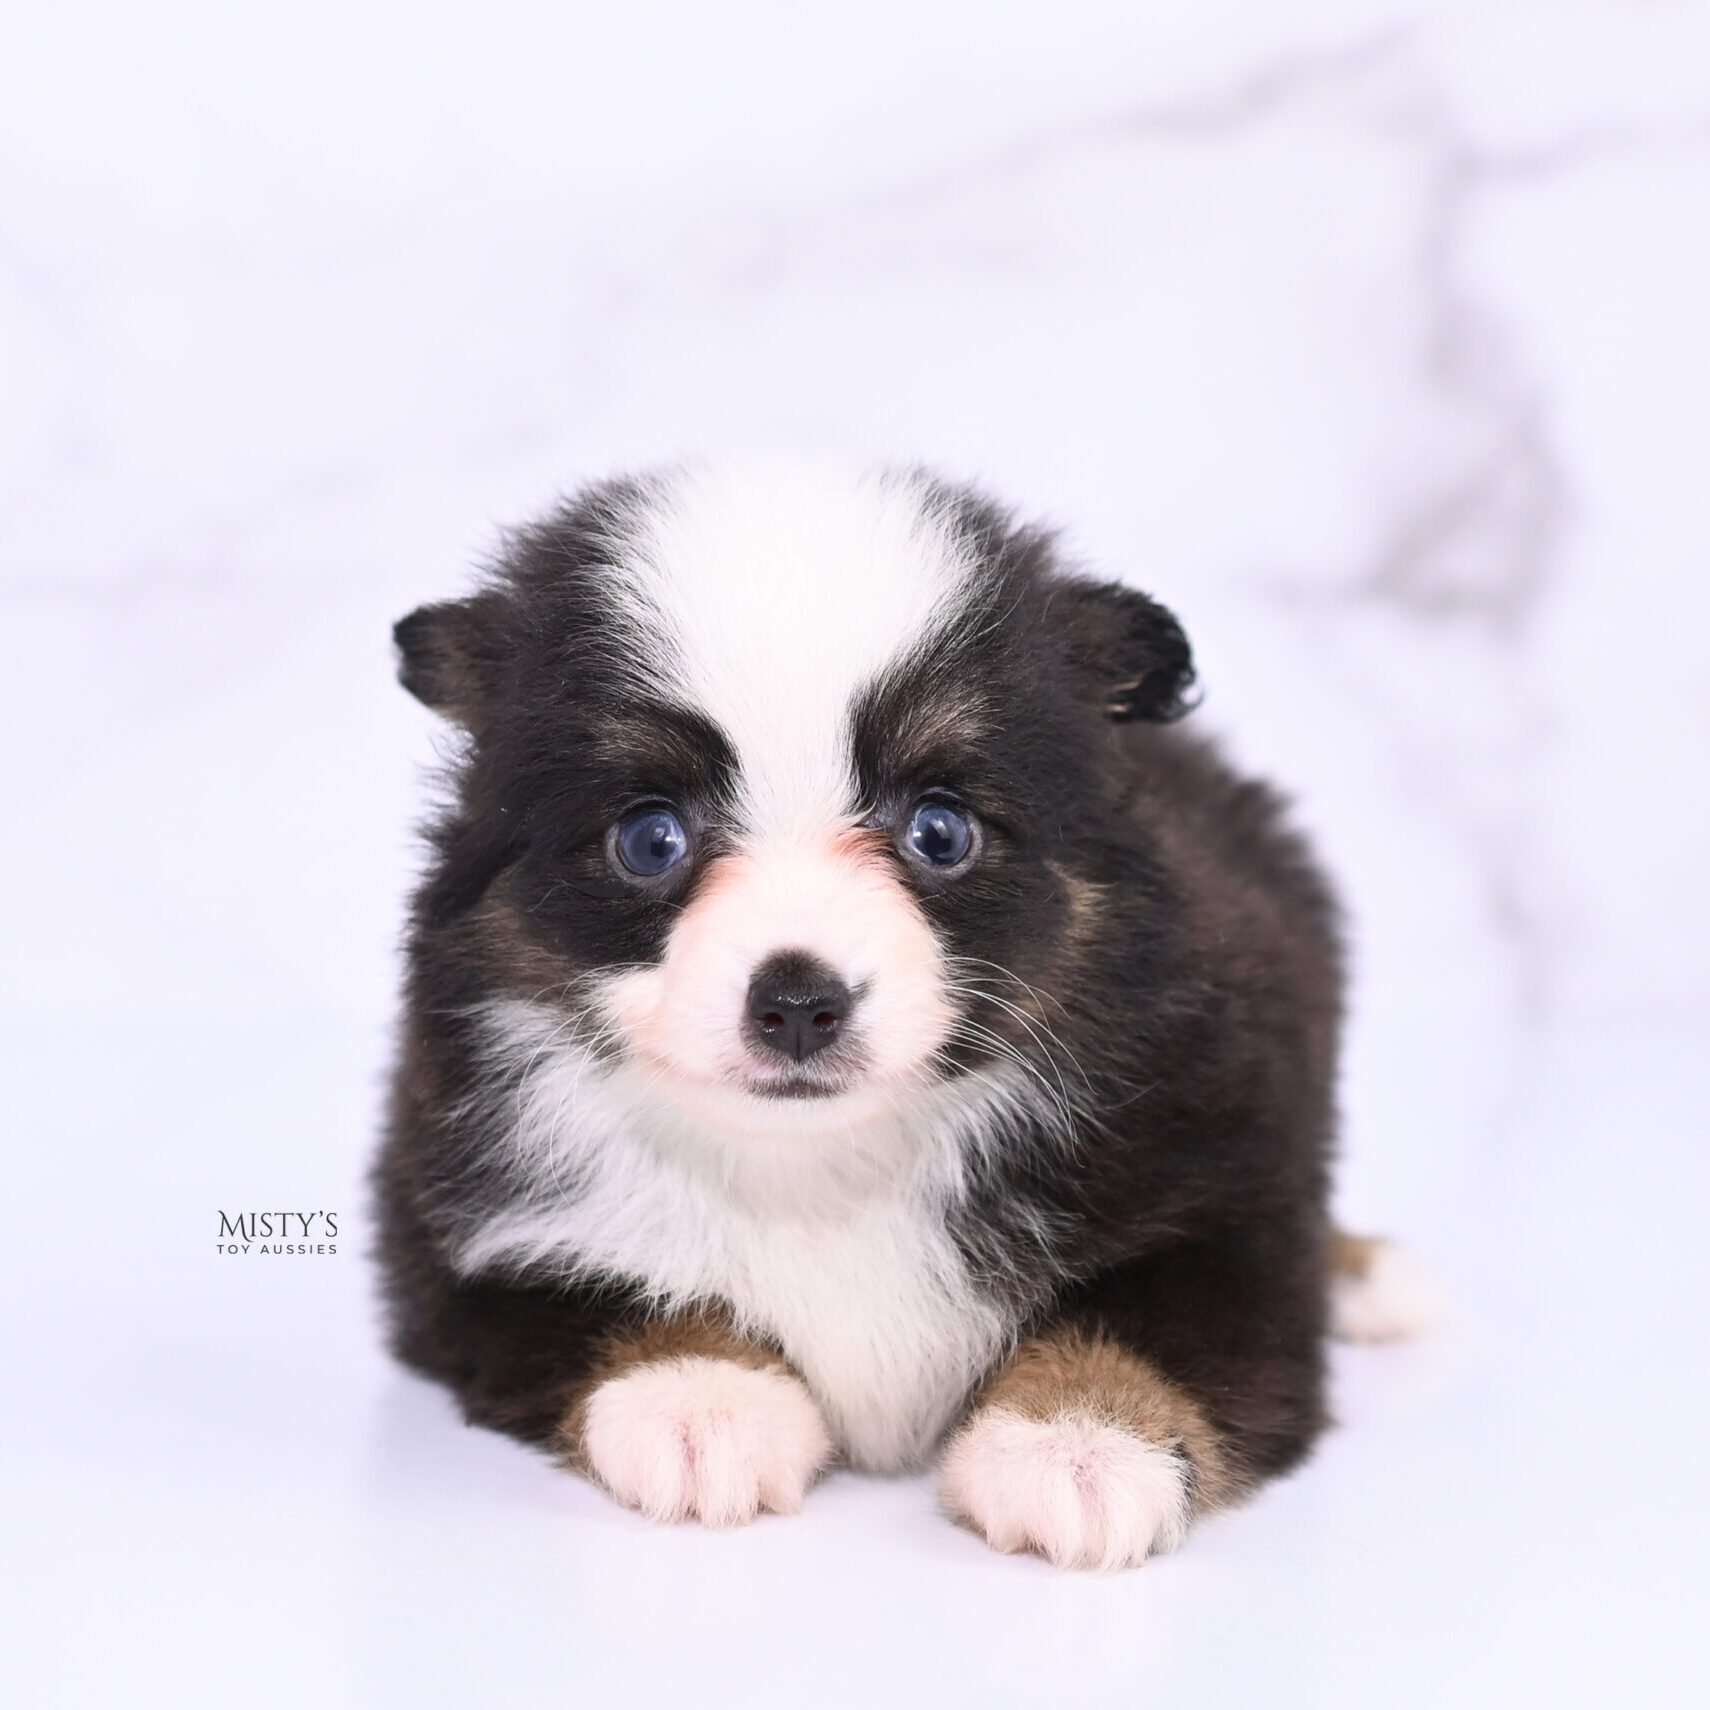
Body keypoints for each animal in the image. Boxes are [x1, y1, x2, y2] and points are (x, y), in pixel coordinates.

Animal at [374, 461, 1429, 1566]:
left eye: (940, 830)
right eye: (650, 840)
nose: (798, 1004)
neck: (825, 1173)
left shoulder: (1223, 1169)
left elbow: (1156, 1313)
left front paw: (1076, 1443)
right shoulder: (457, 1219)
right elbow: (593, 1292)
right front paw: (702, 1400)